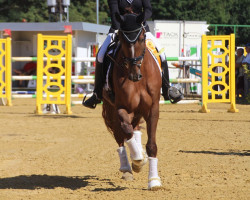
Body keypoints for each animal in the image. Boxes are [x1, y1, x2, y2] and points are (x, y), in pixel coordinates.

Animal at [102, 14, 162, 191]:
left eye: (142, 38)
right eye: (122, 39)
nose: (134, 75)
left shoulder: (152, 109)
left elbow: (151, 145)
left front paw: (154, 180)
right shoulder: (121, 108)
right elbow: (126, 131)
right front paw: (137, 161)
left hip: (139, 111)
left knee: (135, 128)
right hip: (113, 109)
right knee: (120, 135)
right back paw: (127, 168)